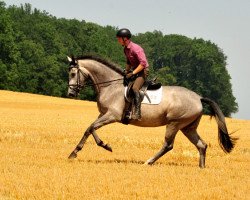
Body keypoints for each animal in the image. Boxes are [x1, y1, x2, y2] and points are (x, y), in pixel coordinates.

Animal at [66, 54, 236, 167]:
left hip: (174, 124)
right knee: (201, 145)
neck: (110, 85)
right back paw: (201, 168)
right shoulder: (103, 114)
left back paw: (148, 162)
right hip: (188, 127)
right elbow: (90, 128)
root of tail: (199, 98)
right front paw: (102, 145)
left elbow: (91, 127)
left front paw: (77, 152)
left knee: (168, 145)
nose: (70, 94)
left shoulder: (112, 115)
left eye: (73, 73)